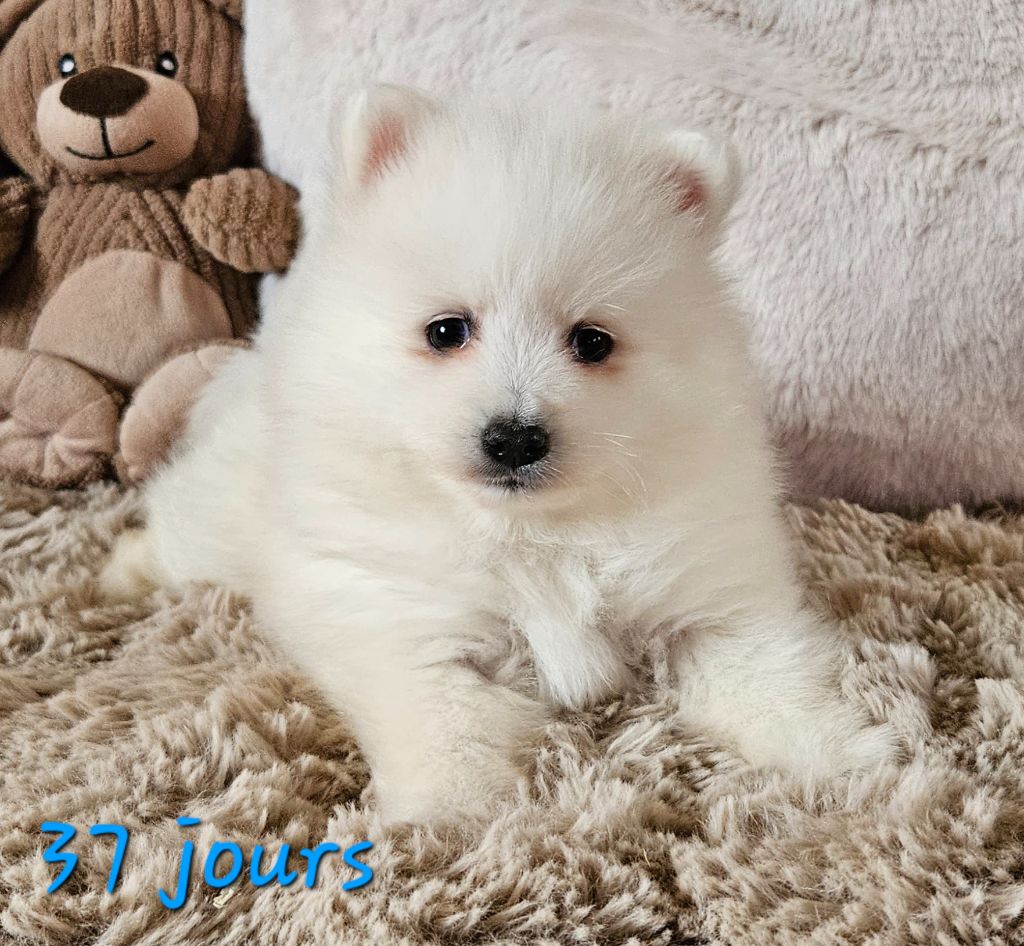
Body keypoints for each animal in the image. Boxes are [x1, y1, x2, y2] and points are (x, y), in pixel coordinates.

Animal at [103, 86, 896, 824]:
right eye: (446, 331)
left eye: (592, 342)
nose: (515, 437)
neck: (532, 530)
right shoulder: (400, 616)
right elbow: (440, 714)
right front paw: (446, 810)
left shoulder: (711, 598)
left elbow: (769, 675)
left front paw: (841, 756)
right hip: (214, 520)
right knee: (175, 533)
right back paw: (124, 568)